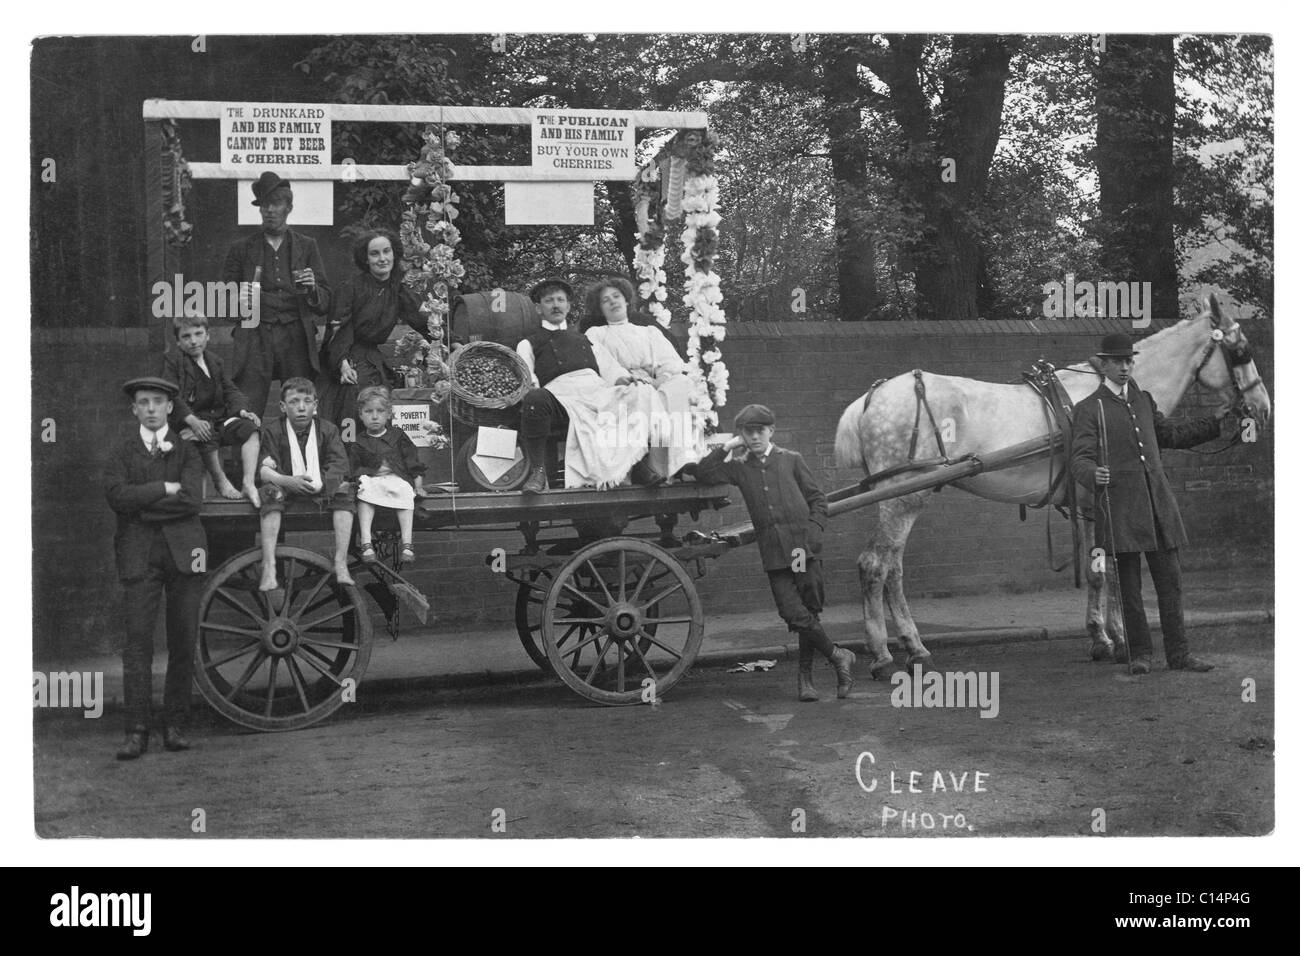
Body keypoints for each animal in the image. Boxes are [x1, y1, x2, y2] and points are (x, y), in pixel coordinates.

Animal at [832, 300, 1268, 681]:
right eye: (1241, 351)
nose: (1262, 407)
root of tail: (873, 396)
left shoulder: (1092, 504)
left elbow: (1100, 570)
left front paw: (1102, 638)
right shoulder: (1102, 498)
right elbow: (1110, 569)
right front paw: (1118, 639)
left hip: (899, 498)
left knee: (893, 568)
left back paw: (911, 646)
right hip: (902, 496)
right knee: (875, 566)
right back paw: (888, 655)